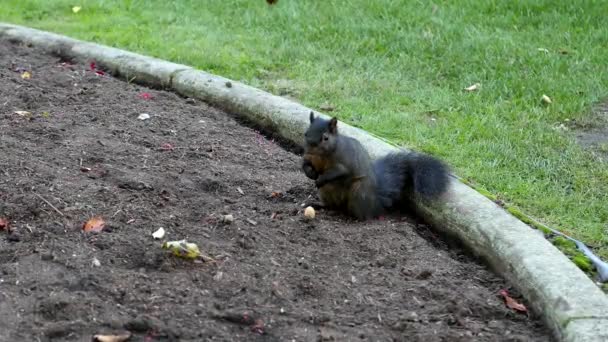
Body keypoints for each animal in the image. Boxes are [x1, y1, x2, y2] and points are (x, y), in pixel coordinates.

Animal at [302, 111, 448, 220]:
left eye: (325, 138)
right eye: (306, 133)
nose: (310, 148)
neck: (321, 156)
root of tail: (375, 204)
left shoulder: (343, 162)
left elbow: (338, 172)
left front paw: (321, 179)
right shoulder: (309, 158)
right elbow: (305, 165)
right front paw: (310, 173)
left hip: (359, 192)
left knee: (362, 215)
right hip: (326, 192)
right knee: (332, 206)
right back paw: (318, 204)